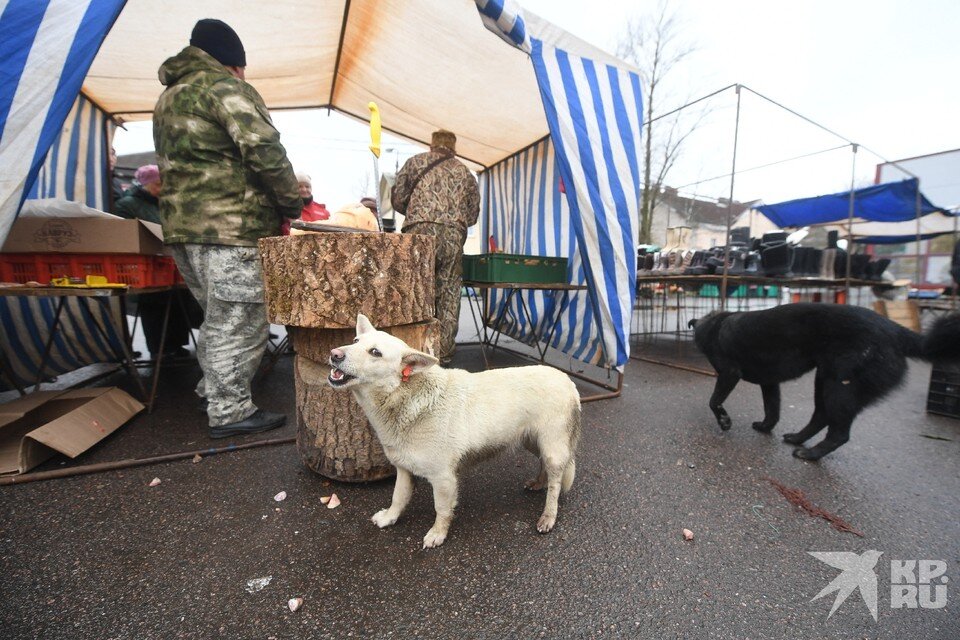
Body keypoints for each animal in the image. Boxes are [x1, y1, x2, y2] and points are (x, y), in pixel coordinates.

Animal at [322, 312, 580, 548]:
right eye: (355, 341)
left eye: (375, 352)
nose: (334, 354)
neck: (405, 399)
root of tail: (567, 380)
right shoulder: (403, 470)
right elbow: (398, 498)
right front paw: (389, 518)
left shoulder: (443, 478)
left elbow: (442, 510)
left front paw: (438, 534)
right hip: (533, 442)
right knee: (545, 467)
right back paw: (538, 483)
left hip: (552, 449)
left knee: (556, 484)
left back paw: (548, 516)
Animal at [688, 304, 960, 460]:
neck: (715, 324)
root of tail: (896, 331)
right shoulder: (770, 382)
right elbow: (772, 410)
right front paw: (765, 427)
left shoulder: (729, 373)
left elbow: (714, 401)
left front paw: (724, 421)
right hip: (824, 379)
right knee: (820, 416)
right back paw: (798, 438)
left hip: (839, 385)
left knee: (839, 433)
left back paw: (810, 454)